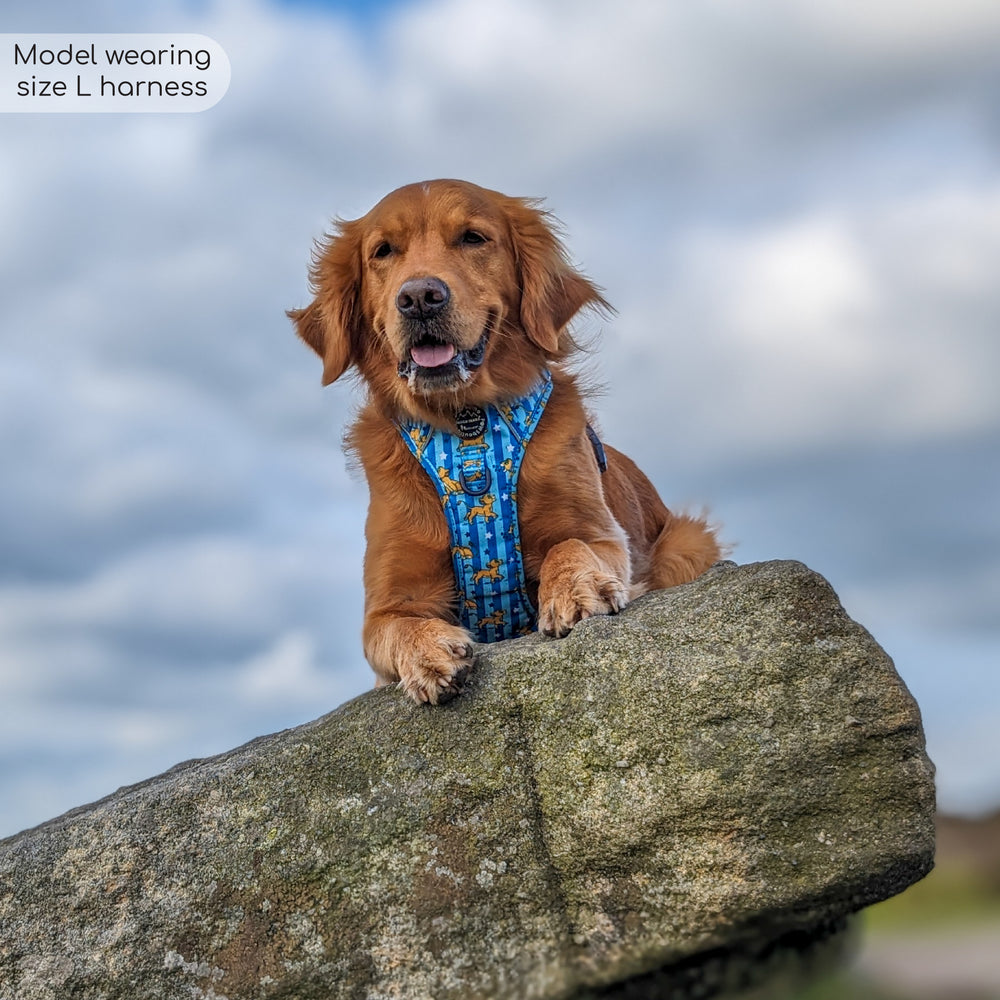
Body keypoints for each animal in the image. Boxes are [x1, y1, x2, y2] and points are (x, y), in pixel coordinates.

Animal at [290, 182, 720, 712]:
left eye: (473, 238)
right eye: (383, 251)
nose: (419, 297)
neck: (466, 428)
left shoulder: (602, 535)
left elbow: (571, 545)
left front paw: (574, 591)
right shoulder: (388, 602)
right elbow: (397, 626)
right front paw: (427, 652)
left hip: (687, 542)